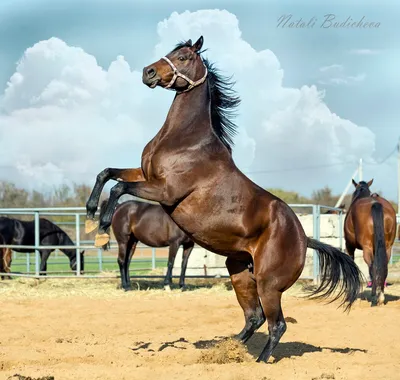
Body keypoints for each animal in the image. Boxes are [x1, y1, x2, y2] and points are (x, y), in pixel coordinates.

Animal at [83, 37, 362, 364]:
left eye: (184, 56)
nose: (148, 72)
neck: (186, 140)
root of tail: (304, 237)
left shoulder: (164, 190)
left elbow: (118, 188)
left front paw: (101, 227)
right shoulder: (145, 174)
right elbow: (106, 173)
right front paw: (90, 212)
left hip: (269, 284)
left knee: (276, 324)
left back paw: (258, 361)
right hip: (239, 271)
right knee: (254, 317)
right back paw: (225, 348)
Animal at [344, 180, 396, 308]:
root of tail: (375, 204)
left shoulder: (349, 246)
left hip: (366, 248)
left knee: (372, 267)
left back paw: (373, 299)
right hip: (387, 247)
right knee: (384, 268)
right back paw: (381, 297)